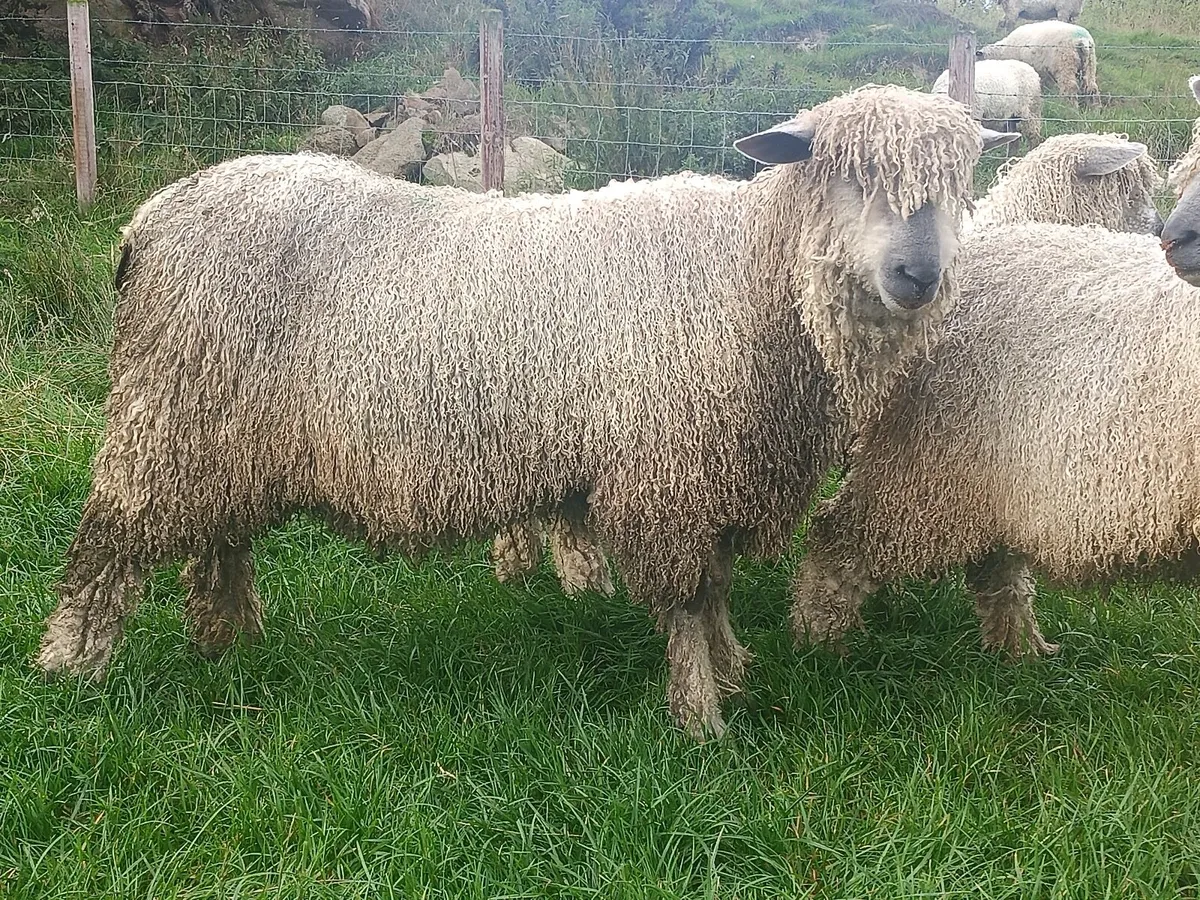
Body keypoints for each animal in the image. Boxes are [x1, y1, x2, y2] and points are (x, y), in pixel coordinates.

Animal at [35, 85, 1009, 740]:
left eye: (960, 182)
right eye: (845, 175)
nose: (918, 275)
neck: (750, 278)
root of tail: (148, 221)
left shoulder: (716, 471)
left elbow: (719, 585)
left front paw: (733, 670)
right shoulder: (668, 472)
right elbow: (689, 598)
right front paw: (701, 715)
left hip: (222, 432)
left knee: (218, 542)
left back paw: (230, 643)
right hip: (164, 414)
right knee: (107, 544)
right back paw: (71, 667)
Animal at [789, 222, 1200, 660]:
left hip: (990, 482)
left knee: (995, 566)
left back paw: (1020, 651)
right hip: (925, 465)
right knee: (840, 538)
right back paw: (820, 642)